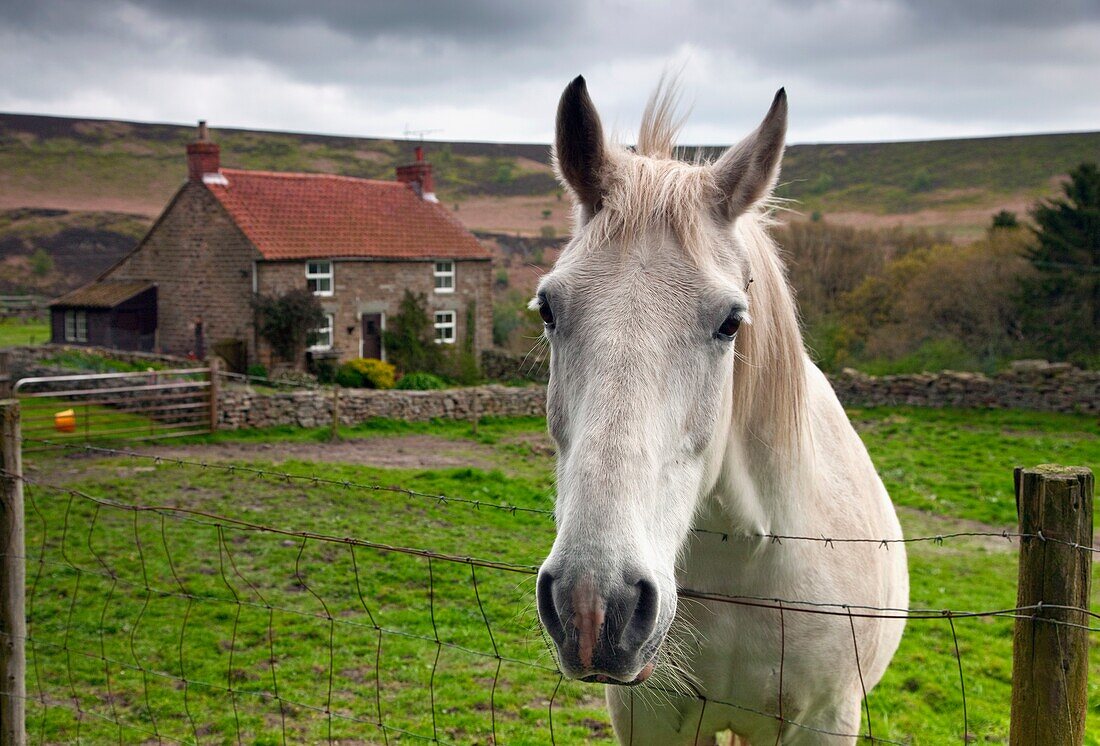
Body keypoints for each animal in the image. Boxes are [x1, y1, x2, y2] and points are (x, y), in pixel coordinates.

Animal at [534, 77, 910, 746]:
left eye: (731, 322)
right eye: (549, 308)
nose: (593, 605)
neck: (748, 555)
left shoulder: (826, 720)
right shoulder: (650, 719)